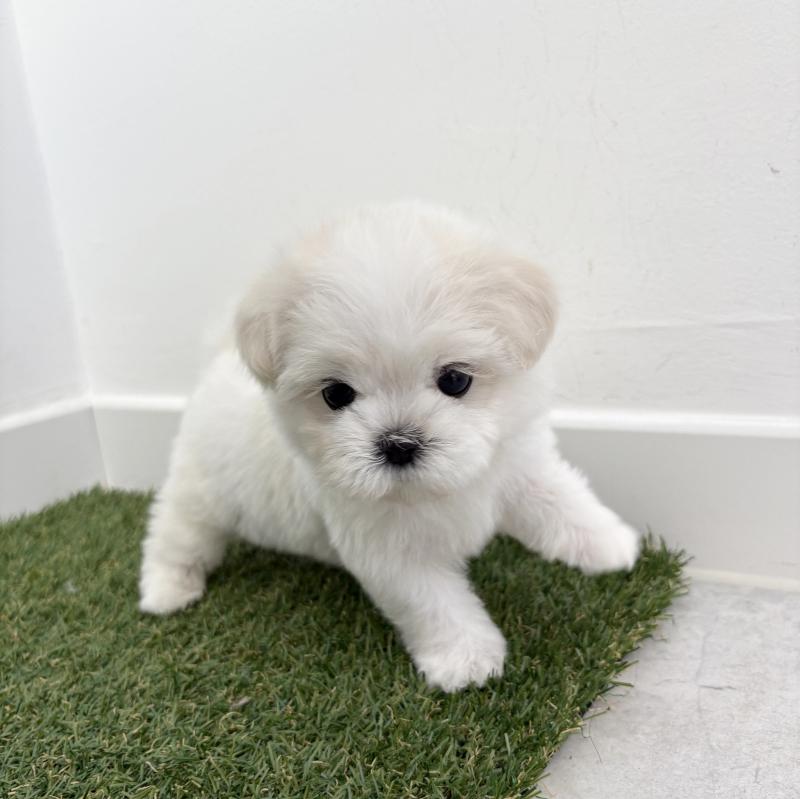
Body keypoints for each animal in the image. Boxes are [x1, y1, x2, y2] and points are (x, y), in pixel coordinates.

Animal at [139, 202, 639, 692]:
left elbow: (561, 501)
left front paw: (608, 544)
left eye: (455, 380)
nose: (399, 444)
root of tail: (220, 360)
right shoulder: (390, 551)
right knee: (177, 532)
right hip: (202, 490)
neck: (437, 488)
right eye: (336, 394)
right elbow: (433, 602)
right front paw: (465, 659)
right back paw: (166, 589)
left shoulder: (517, 466)